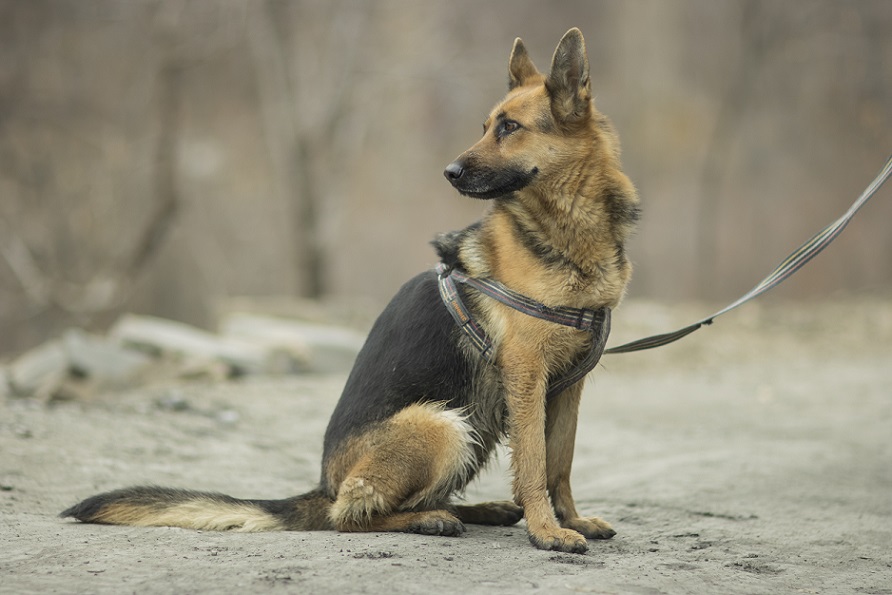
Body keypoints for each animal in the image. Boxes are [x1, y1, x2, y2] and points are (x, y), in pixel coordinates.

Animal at [61, 26, 640, 556]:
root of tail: (323, 484)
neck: (567, 232)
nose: (449, 172)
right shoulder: (526, 377)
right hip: (441, 424)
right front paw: (546, 532)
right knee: (350, 514)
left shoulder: (566, 386)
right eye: (486, 127)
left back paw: (474, 510)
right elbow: (535, 463)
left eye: (510, 128)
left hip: (466, 426)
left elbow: (559, 461)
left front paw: (570, 519)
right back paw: (430, 519)